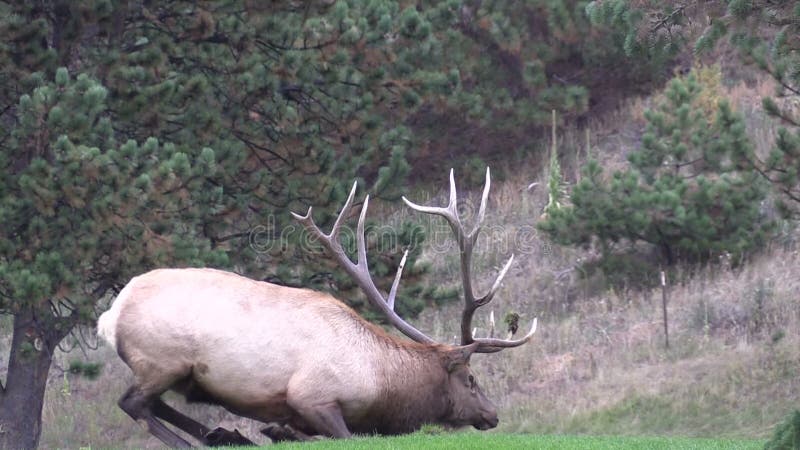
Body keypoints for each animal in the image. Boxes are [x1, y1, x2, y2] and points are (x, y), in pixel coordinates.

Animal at [98, 169, 536, 446]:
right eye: (471, 379)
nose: (493, 414)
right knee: (133, 404)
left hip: (172, 371)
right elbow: (338, 434)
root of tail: (110, 315)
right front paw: (275, 432)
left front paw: (256, 432)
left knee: (154, 405)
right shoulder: (312, 395)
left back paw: (221, 435)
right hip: (164, 360)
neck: (381, 384)